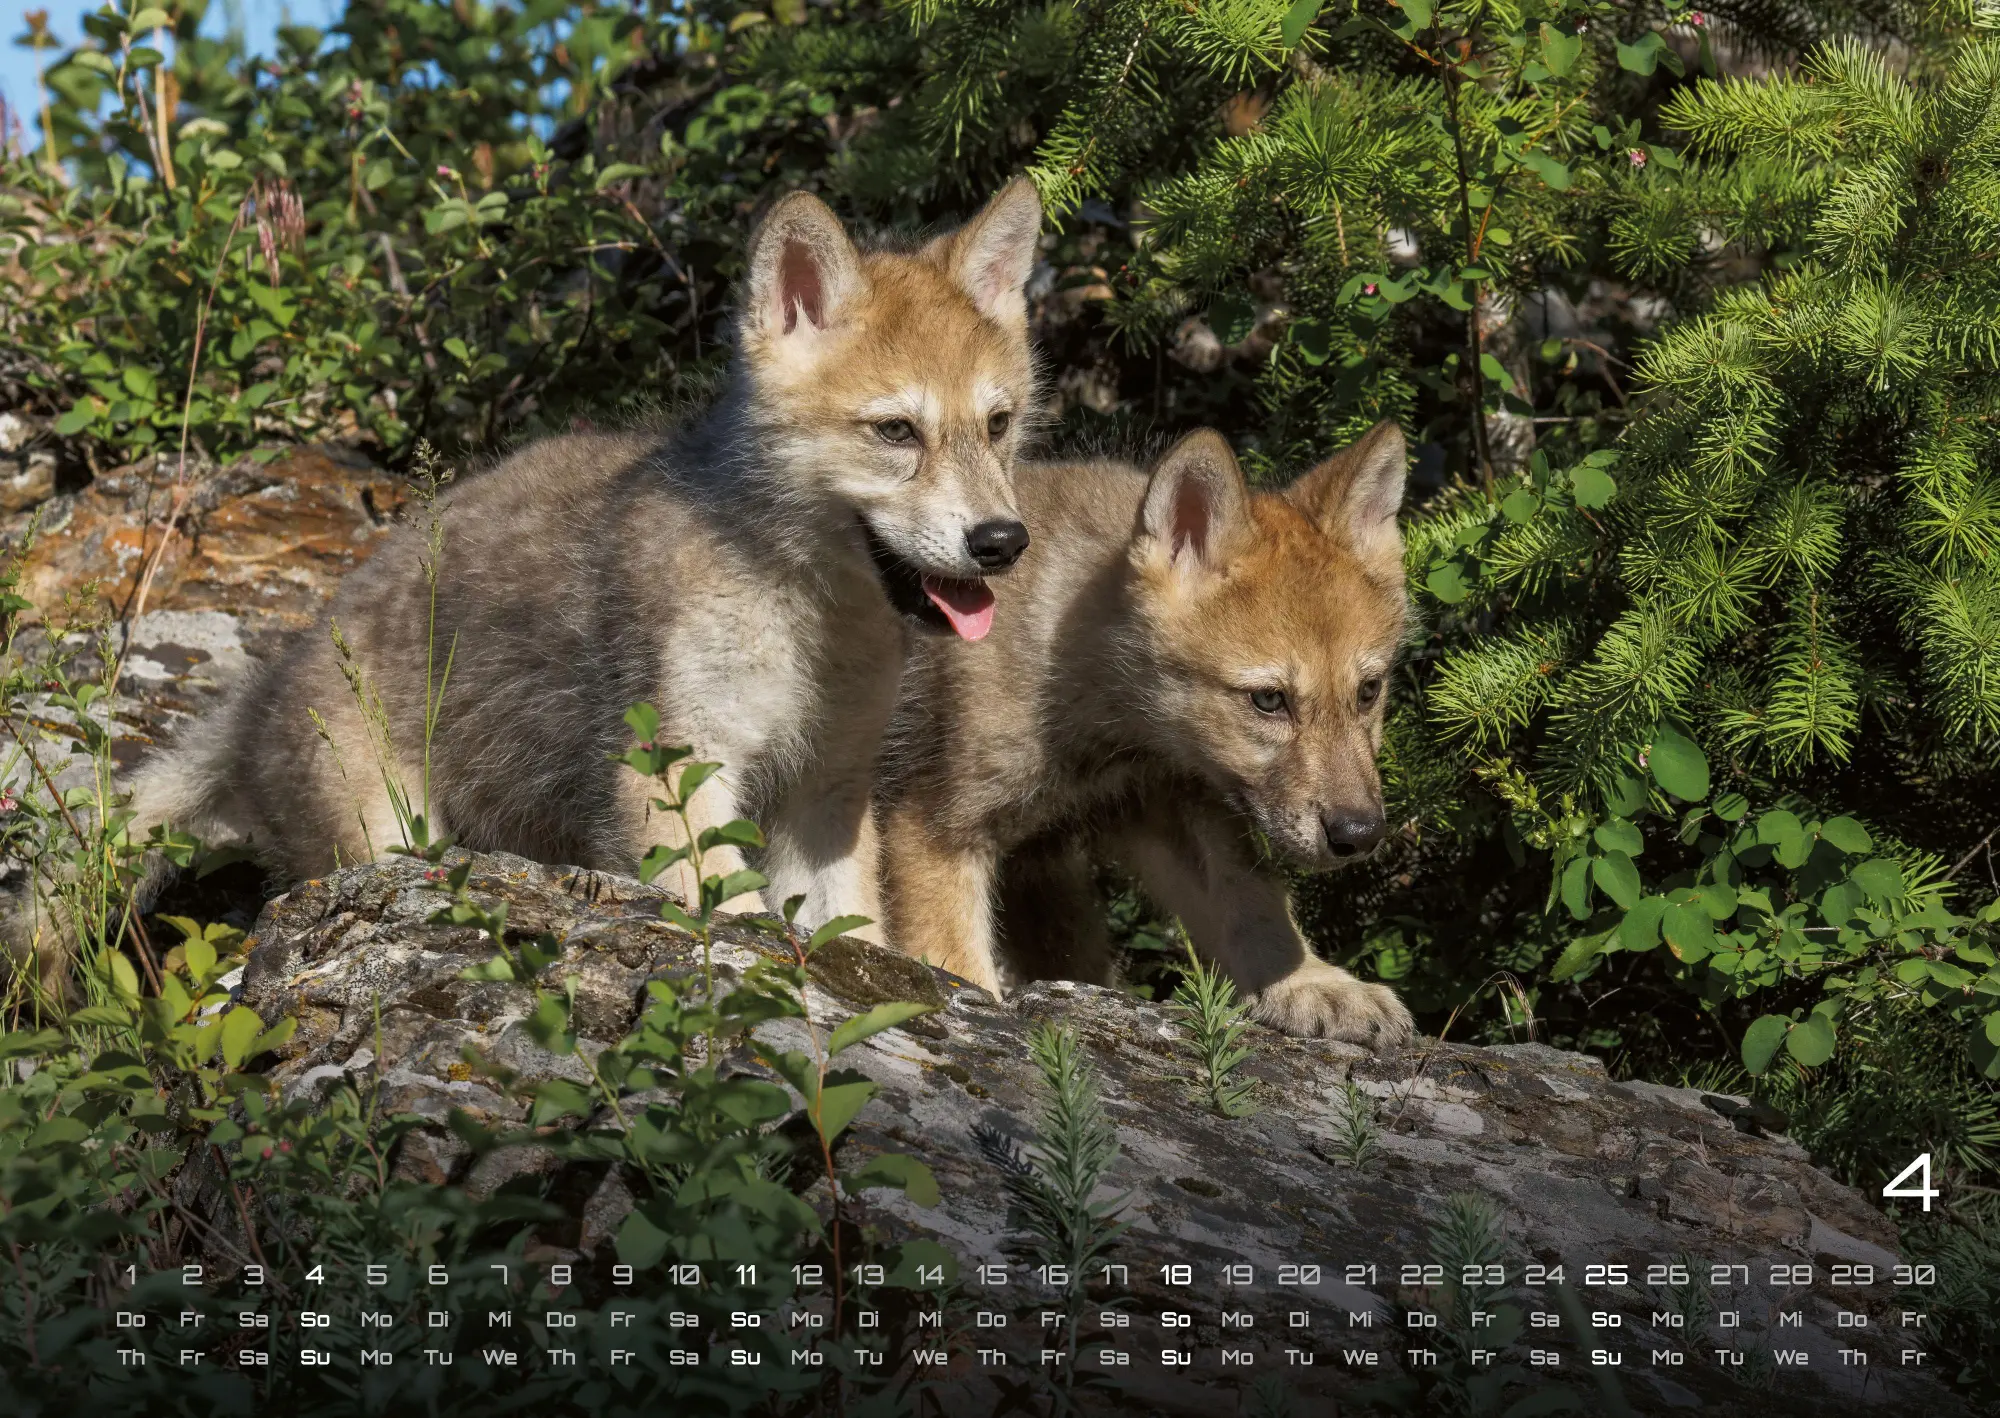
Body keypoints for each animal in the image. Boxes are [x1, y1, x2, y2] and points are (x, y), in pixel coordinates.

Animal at [111, 180, 1046, 944]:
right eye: (895, 432)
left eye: (998, 424)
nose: (1003, 543)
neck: (799, 605)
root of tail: (256, 697)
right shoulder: (671, 777)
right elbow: (739, 918)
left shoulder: (824, 795)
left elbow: (854, 936)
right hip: (384, 841)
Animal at [876, 423, 1415, 1044]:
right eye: (1269, 700)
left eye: (1369, 691)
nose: (1361, 833)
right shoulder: (933, 832)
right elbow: (958, 966)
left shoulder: (1171, 802)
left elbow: (1254, 903)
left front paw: (1316, 984)